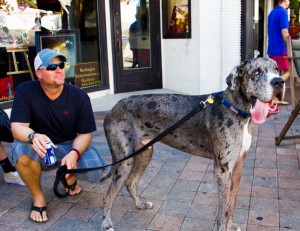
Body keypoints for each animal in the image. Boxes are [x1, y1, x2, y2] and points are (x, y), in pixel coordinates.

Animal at [101, 56, 284, 230]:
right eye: (255, 72)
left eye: (276, 69)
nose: (279, 82)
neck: (236, 109)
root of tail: (112, 109)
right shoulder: (223, 171)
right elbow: (223, 211)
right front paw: (224, 226)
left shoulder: (237, 167)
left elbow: (231, 204)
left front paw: (231, 226)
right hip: (124, 161)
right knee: (108, 195)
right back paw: (106, 223)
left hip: (145, 152)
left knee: (130, 182)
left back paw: (140, 204)